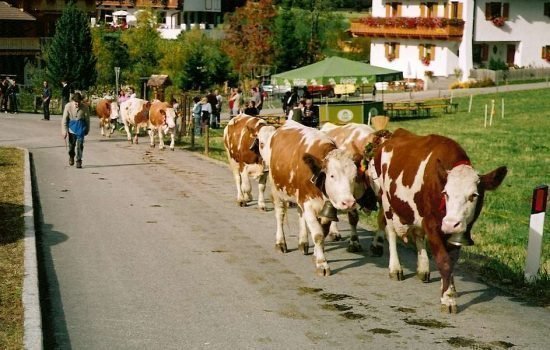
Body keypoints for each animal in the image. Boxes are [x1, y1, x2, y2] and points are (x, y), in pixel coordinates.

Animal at [266, 120, 358, 276]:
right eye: (332, 175)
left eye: (354, 176)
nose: (349, 202)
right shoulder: (308, 204)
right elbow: (318, 235)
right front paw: (322, 264)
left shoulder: (325, 208)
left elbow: (323, 232)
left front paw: (316, 254)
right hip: (277, 190)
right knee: (280, 215)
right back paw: (280, 243)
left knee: (300, 214)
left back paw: (303, 242)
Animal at [376, 128, 508, 312]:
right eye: (445, 193)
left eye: (474, 195)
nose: (450, 223)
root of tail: (395, 134)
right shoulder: (432, 225)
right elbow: (444, 261)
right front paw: (448, 299)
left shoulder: (459, 232)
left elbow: (451, 262)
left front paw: (449, 288)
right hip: (387, 202)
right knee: (391, 233)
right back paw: (395, 268)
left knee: (418, 234)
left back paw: (423, 269)